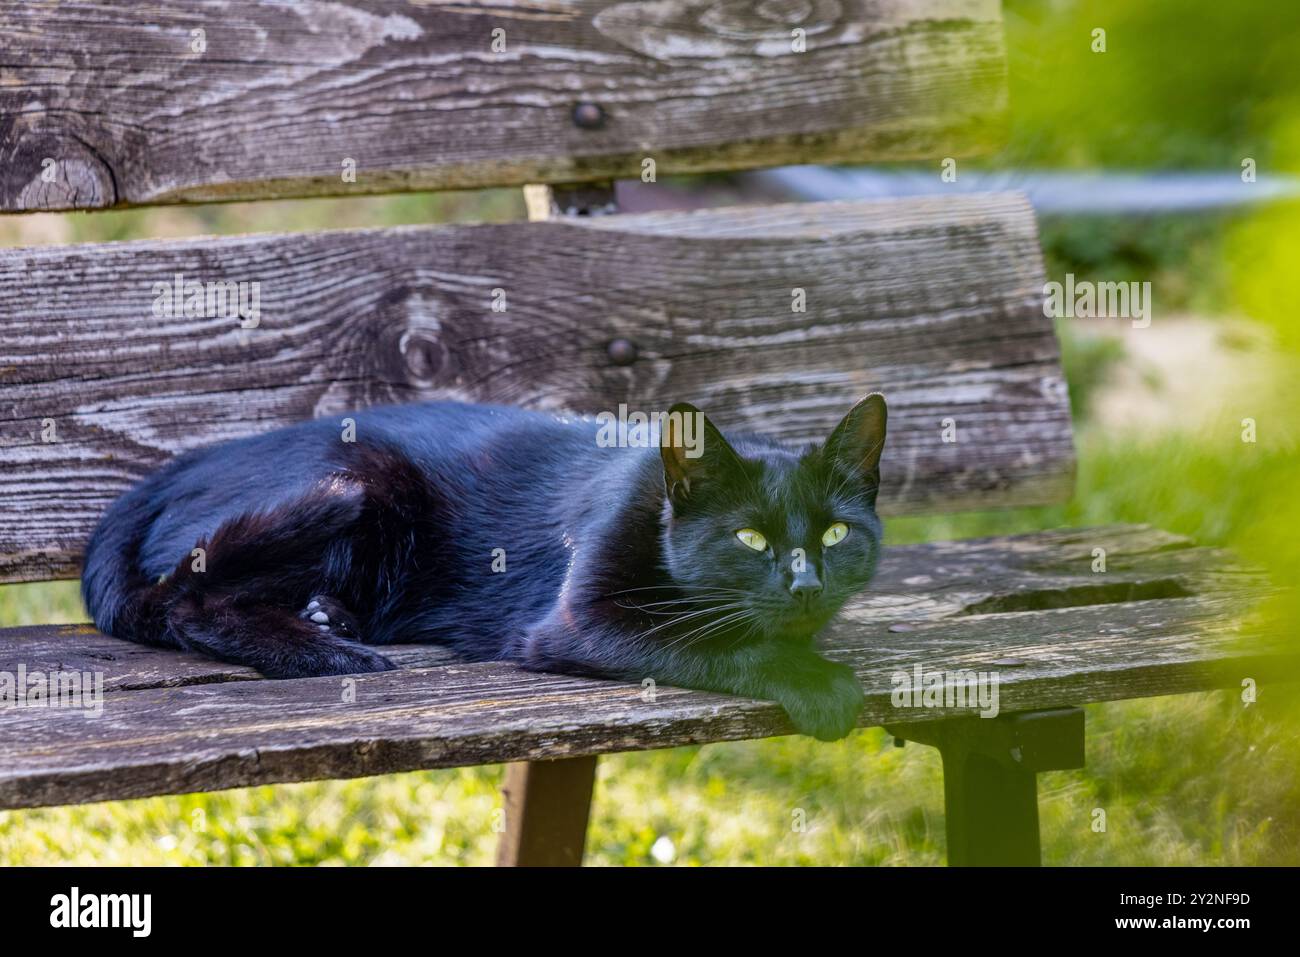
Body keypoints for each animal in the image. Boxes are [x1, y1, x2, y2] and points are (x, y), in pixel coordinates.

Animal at [81, 395, 883, 738]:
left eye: (837, 531)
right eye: (749, 538)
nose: (806, 584)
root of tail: (182, 465)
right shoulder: (577, 620)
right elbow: (723, 641)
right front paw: (820, 685)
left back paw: (328, 616)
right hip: (355, 485)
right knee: (187, 600)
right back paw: (324, 650)